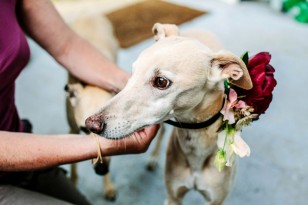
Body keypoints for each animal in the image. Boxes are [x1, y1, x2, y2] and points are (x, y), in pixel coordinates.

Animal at [85, 23, 253, 204]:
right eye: (133, 72)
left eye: (161, 82)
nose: (91, 124)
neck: (196, 153)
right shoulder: (173, 196)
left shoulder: (215, 200)